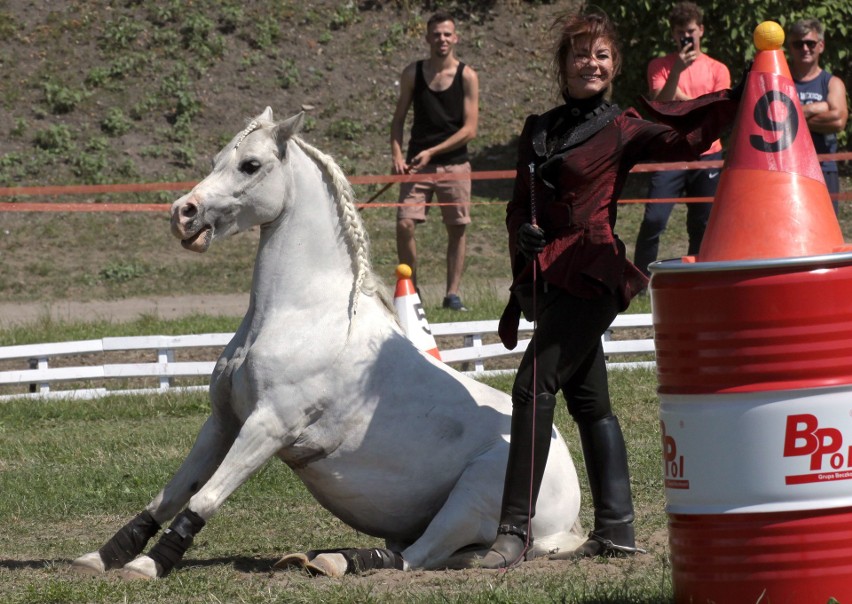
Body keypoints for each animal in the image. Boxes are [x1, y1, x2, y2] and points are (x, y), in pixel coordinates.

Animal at [71, 108, 584, 580]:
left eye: (251, 165)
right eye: (217, 159)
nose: (183, 213)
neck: (300, 315)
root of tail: (569, 511)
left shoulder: (267, 427)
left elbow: (206, 496)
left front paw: (149, 564)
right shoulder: (223, 422)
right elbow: (173, 491)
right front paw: (105, 555)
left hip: (472, 497)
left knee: (417, 556)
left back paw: (339, 561)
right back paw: (315, 558)